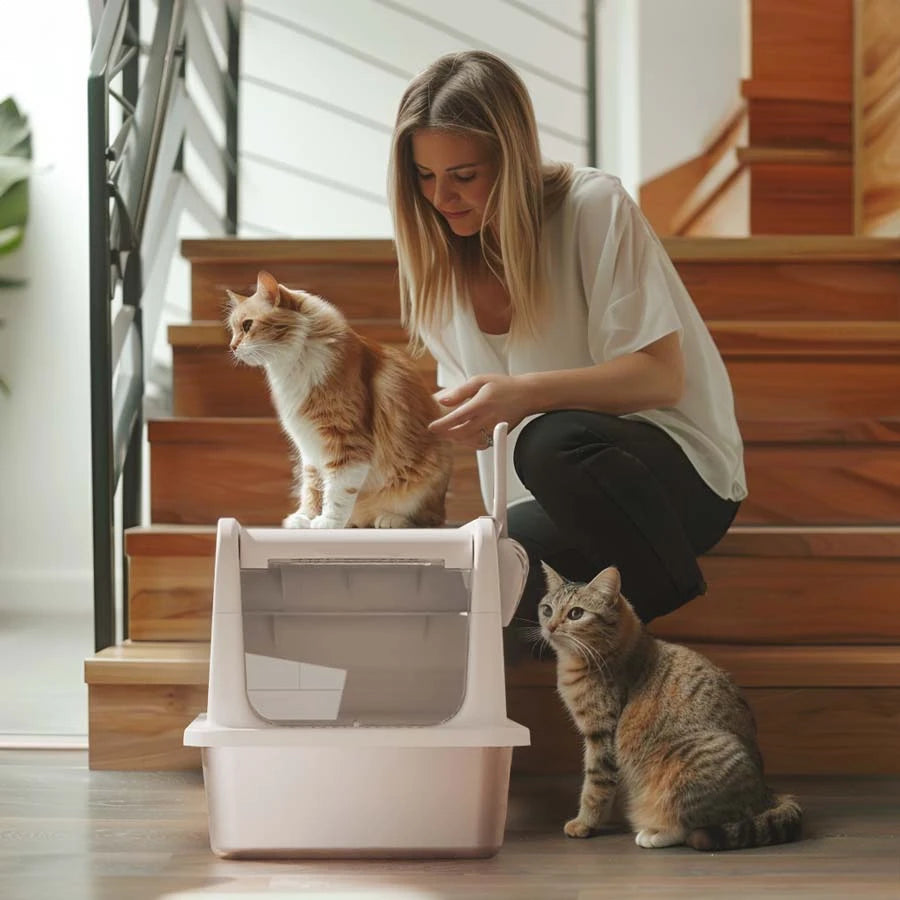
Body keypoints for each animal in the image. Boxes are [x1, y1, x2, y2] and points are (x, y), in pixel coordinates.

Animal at [225, 270, 450, 532]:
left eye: (247, 325)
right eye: (233, 330)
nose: (232, 347)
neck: (294, 363)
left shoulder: (345, 439)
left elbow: (337, 489)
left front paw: (329, 521)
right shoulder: (309, 447)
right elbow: (312, 488)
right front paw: (305, 517)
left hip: (425, 479)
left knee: (426, 517)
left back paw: (388, 519)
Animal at [536, 564, 800, 852]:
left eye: (576, 613)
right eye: (547, 609)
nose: (550, 626)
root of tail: (765, 794)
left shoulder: (601, 736)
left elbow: (595, 787)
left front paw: (583, 823)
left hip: (685, 767)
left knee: (688, 826)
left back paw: (654, 833)